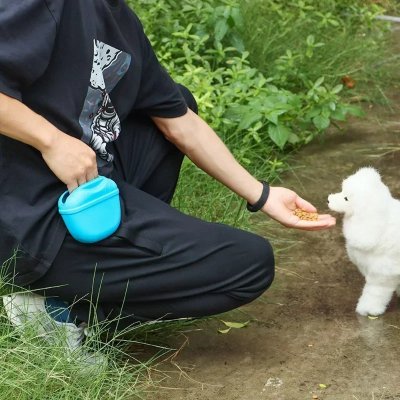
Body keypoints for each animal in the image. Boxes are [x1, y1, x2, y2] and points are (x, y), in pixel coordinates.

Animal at [328, 166, 400, 316]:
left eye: (346, 198)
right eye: (342, 191)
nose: (328, 199)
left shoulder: (382, 275)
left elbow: (374, 294)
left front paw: (368, 310)